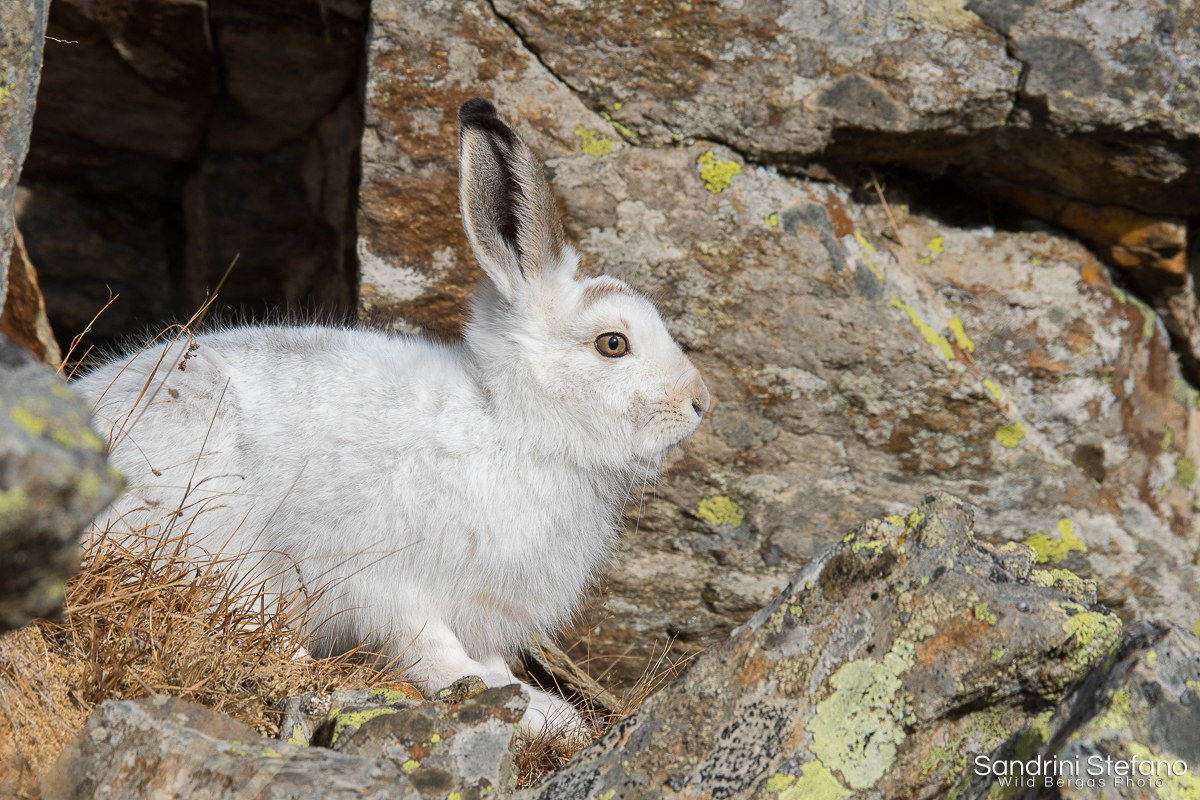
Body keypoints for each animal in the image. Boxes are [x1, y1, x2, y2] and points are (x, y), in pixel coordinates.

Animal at [73, 98, 710, 738]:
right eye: (612, 344)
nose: (700, 402)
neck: (510, 420)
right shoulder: (398, 585)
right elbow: (438, 656)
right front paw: (530, 711)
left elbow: (488, 660)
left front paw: (551, 712)